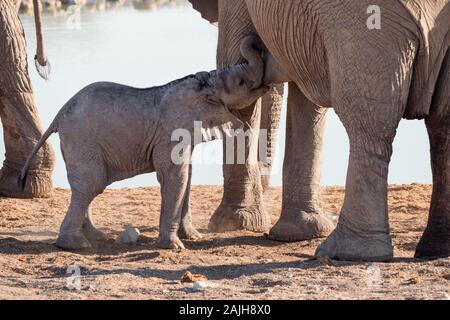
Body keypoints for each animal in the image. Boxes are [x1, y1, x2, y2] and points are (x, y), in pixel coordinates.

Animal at [20, 35, 268, 250]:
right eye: (241, 82)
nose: (257, 41)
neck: (204, 82)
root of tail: (59, 114)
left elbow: (187, 177)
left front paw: (192, 237)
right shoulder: (169, 135)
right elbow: (176, 177)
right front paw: (175, 247)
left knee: (84, 187)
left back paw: (96, 237)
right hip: (82, 138)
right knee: (92, 183)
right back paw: (76, 245)